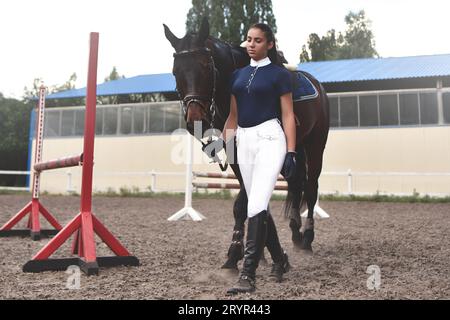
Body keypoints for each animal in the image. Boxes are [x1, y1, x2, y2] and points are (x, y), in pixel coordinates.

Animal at [165, 19, 330, 270]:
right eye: (176, 71)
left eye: (206, 66)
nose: (196, 119)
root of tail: (317, 85)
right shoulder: (235, 154)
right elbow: (250, 198)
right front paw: (258, 251)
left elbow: (243, 202)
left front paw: (235, 254)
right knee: (295, 184)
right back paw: (295, 233)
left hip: (315, 145)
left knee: (310, 189)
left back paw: (307, 239)